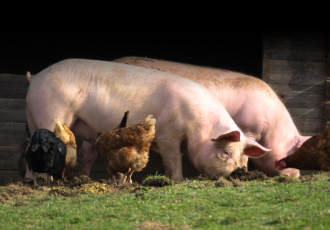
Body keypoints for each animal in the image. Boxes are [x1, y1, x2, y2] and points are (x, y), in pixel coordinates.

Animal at [24, 58, 270, 181]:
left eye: (243, 156)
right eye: (226, 152)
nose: (239, 173)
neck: (198, 124)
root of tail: (36, 77)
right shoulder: (168, 134)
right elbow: (173, 161)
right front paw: (177, 181)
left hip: (34, 118)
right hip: (52, 112)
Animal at [111, 57, 312, 178]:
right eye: (293, 151)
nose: (297, 176)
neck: (272, 127)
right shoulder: (247, 129)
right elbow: (244, 155)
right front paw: (244, 172)